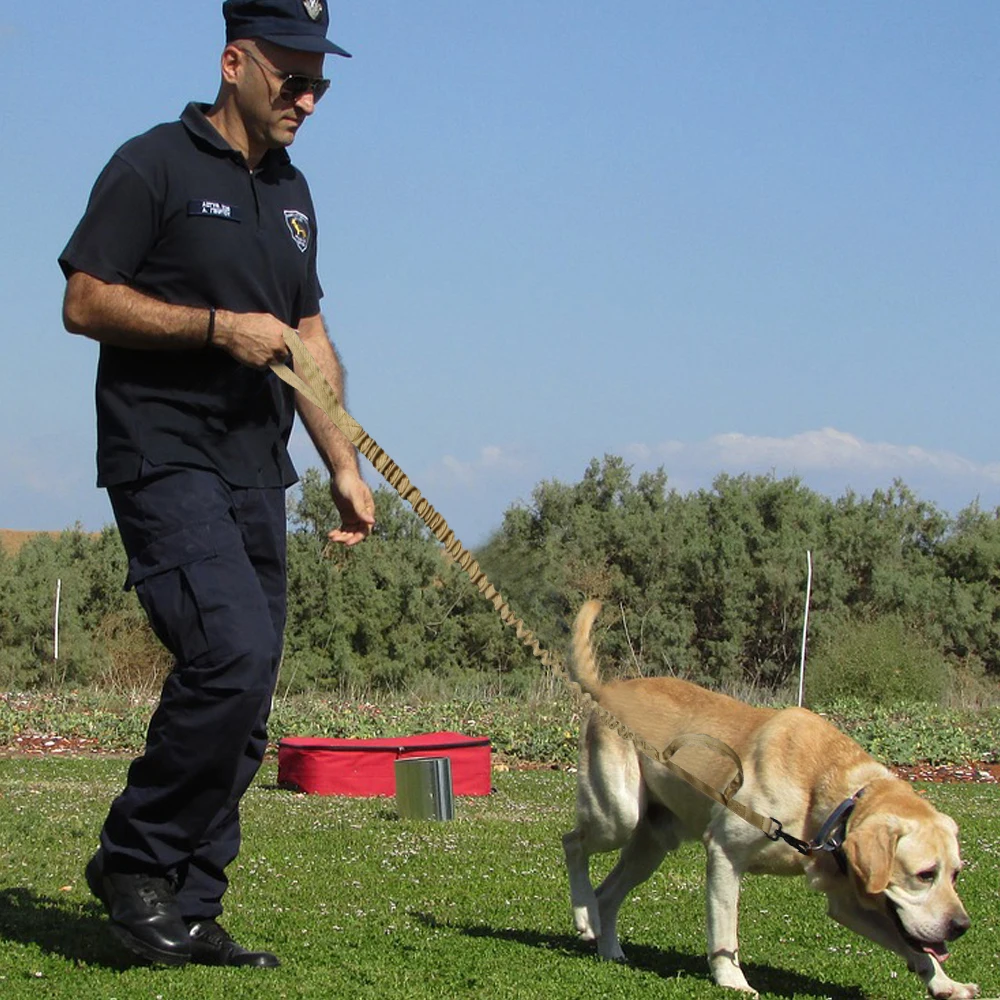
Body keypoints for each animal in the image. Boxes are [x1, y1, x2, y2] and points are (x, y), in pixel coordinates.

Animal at [564, 600, 976, 1000]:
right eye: (925, 874)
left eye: (956, 873)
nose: (962, 926)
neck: (828, 798)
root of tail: (607, 690)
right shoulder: (725, 853)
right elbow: (724, 931)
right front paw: (732, 980)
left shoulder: (847, 900)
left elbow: (914, 947)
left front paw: (945, 983)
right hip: (618, 815)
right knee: (573, 843)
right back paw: (584, 915)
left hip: (652, 844)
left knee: (607, 894)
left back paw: (607, 944)